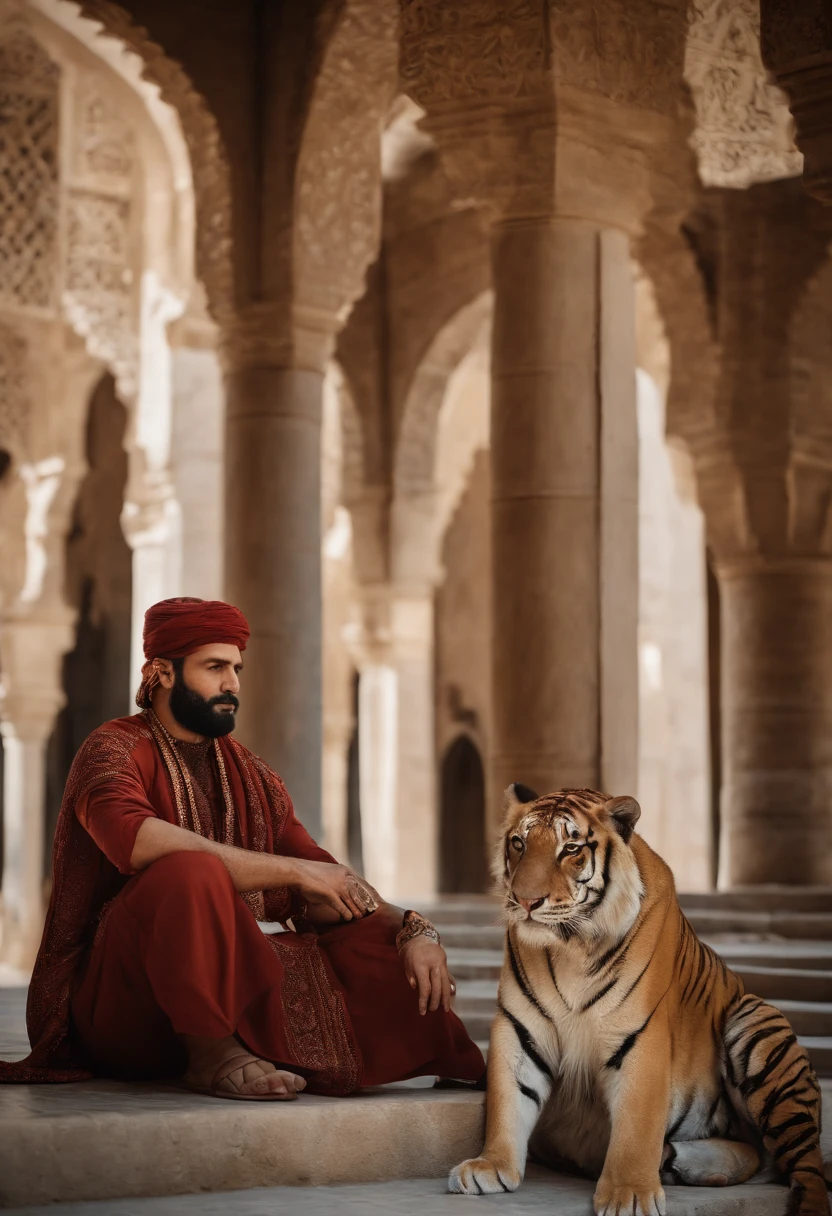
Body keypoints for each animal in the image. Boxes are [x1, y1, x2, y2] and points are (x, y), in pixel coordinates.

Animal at [452, 783, 827, 1211]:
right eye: (519, 843)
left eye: (570, 848)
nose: (526, 901)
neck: (571, 947)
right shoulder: (520, 1026)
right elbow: (508, 1098)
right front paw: (491, 1166)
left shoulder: (639, 1034)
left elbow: (637, 1122)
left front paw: (628, 1195)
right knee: (754, 1154)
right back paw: (678, 1161)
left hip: (755, 1023)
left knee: (805, 1163)